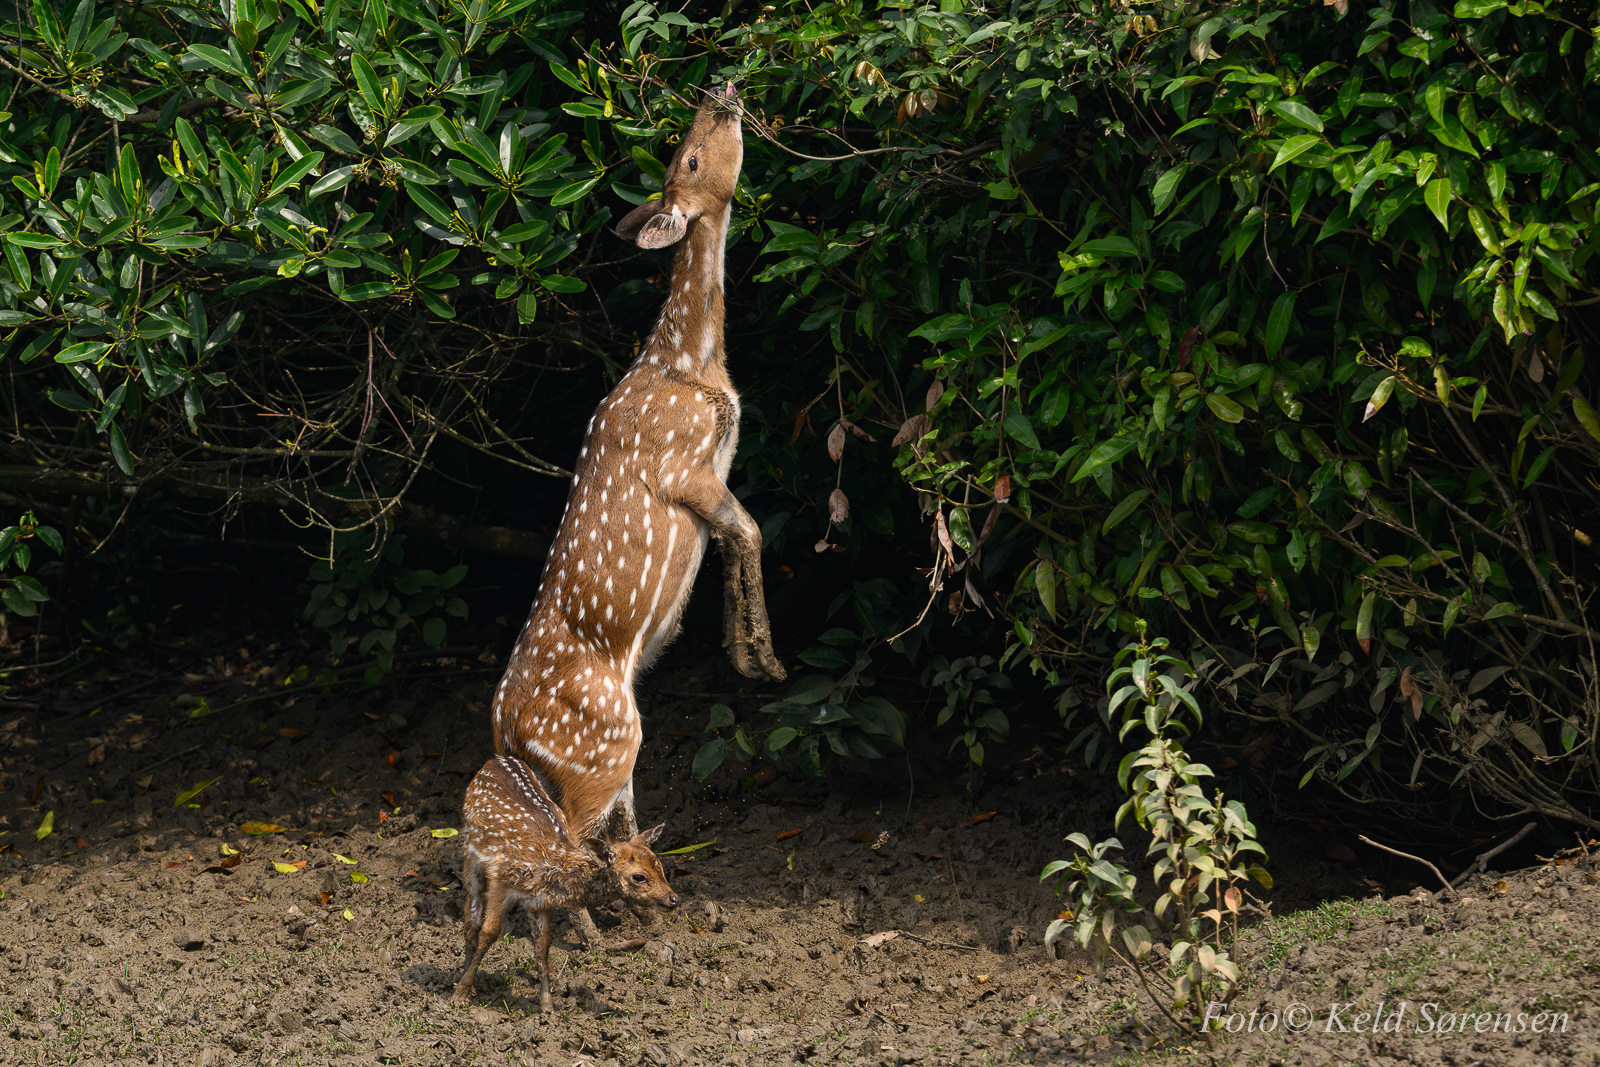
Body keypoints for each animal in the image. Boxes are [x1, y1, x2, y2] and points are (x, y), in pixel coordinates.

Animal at [452, 755, 678, 1012]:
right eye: (639, 877)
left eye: (660, 866)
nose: (673, 899)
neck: (551, 867)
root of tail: (494, 760)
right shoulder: (501, 880)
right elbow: (489, 933)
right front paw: (460, 994)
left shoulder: (540, 903)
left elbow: (543, 946)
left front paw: (547, 1008)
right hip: (470, 853)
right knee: (471, 917)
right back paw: (464, 980)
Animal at [489, 81, 782, 915]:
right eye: (690, 157)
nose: (723, 90)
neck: (690, 363)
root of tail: (506, 732)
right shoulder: (683, 464)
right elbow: (752, 527)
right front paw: (762, 657)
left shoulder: (717, 464)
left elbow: (738, 533)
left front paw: (740, 648)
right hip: (608, 737)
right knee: (568, 829)